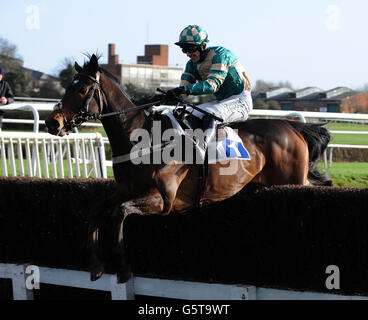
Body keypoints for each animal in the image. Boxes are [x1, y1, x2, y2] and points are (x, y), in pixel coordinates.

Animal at [44, 55, 332, 282]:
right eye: (67, 86)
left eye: (82, 89)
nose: (52, 122)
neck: (143, 137)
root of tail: (293, 126)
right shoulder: (126, 189)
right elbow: (96, 210)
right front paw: (95, 264)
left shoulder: (165, 200)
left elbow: (119, 212)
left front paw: (123, 268)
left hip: (295, 180)